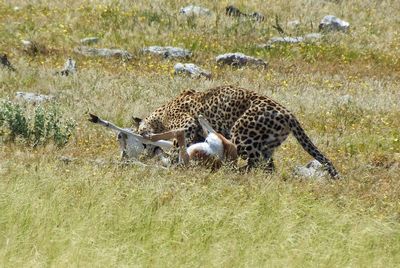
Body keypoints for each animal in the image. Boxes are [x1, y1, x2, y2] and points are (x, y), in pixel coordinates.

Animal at [133, 85, 340, 178]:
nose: (144, 150)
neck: (160, 115)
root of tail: (288, 113)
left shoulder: (187, 124)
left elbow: (177, 144)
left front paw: (171, 160)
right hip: (265, 145)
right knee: (266, 166)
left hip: (242, 136)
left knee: (250, 163)